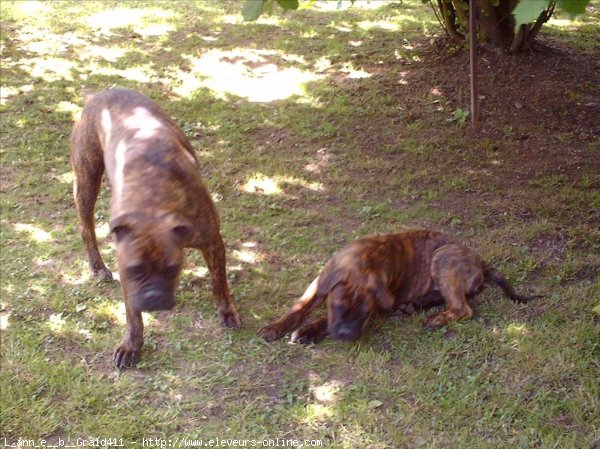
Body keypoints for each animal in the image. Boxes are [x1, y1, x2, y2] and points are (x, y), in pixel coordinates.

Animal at [74, 88, 243, 368]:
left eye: (173, 268)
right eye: (135, 270)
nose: (153, 296)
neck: (151, 201)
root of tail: (98, 93)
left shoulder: (211, 241)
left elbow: (219, 282)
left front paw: (226, 310)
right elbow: (132, 313)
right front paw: (132, 344)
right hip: (86, 183)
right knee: (86, 229)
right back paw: (97, 267)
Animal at [256, 231, 528, 344]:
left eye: (365, 314)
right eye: (337, 306)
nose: (345, 335)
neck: (361, 264)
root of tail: (480, 262)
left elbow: (323, 320)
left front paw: (309, 331)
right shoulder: (318, 285)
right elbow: (298, 308)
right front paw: (275, 327)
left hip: (443, 258)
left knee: (462, 308)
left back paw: (435, 319)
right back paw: (413, 305)